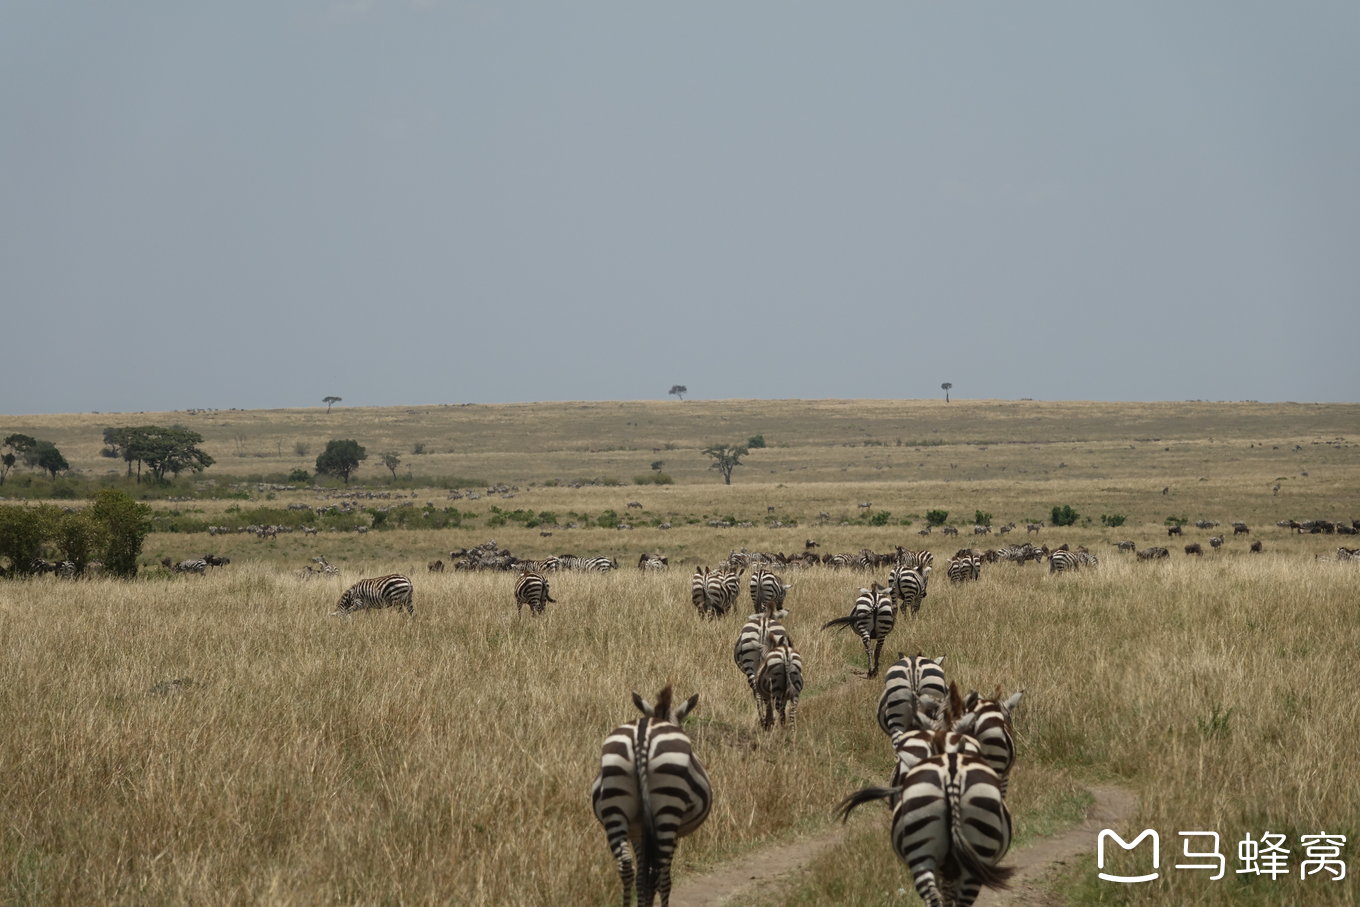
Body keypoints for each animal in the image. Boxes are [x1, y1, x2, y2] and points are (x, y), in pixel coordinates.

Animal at [590, 688, 712, 907]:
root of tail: (642, 734)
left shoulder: (637, 832)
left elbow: (641, 877)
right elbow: (652, 875)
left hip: (615, 805)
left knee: (626, 867)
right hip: (668, 810)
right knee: (662, 873)